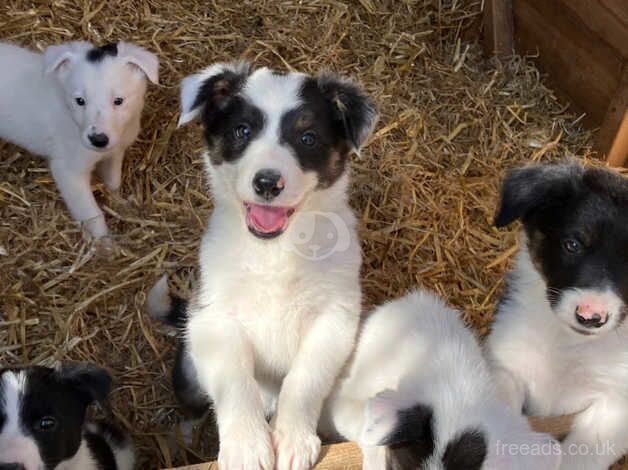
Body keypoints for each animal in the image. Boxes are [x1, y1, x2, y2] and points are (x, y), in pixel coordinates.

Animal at [0, 40, 159, 241]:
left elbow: (113, 182)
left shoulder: (115, 152)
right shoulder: (69, 171)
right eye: (80, 101)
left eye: (119, 100)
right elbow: (92, 214)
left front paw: (120, 204)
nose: (98, 140)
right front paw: (104, 244)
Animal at [148, 63, 378, 470]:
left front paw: (292, 439)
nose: (268, 182)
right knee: (195, 404)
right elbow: (235, 385)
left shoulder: (334, 317)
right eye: (242, 131)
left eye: (307, 137)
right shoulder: (215, 316)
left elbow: (304, 380)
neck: (275, 251)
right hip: (189, 366)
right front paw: (245, 446)